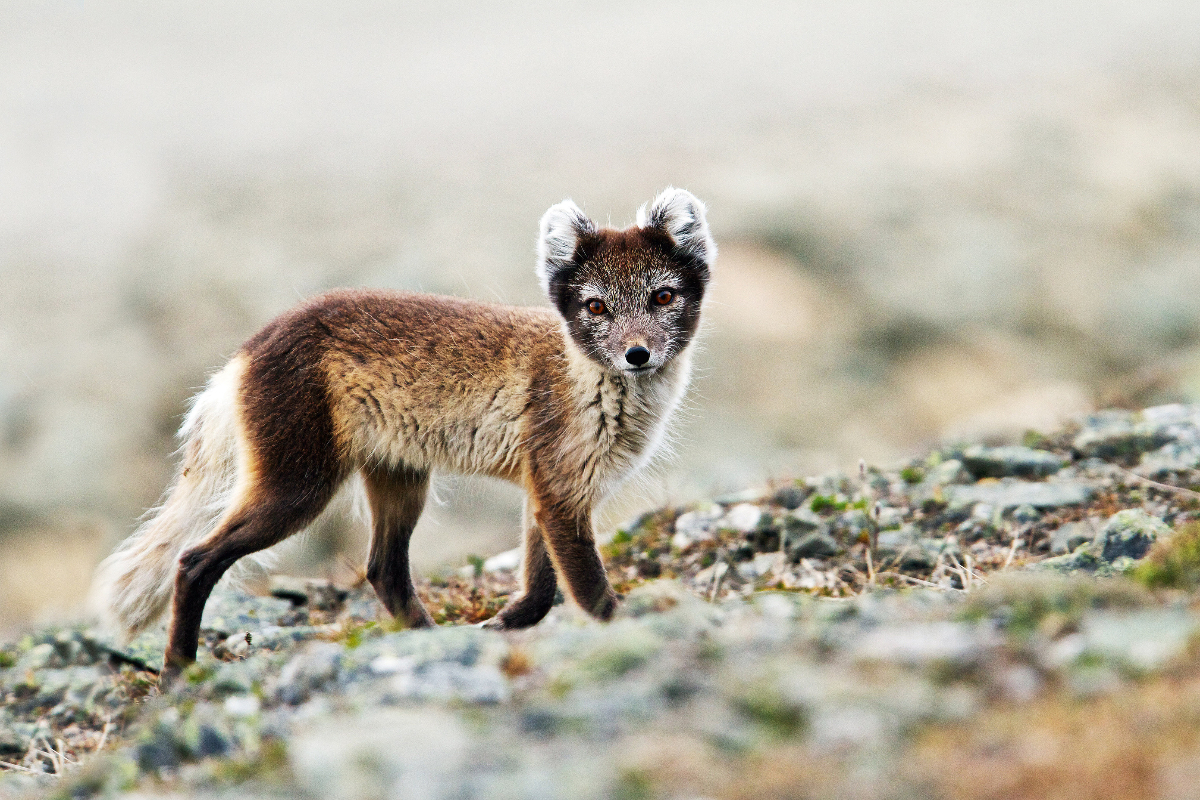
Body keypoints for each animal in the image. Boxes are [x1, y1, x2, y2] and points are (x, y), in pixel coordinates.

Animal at [89, 187, 715, 679]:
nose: (637, 354)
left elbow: (540, 590)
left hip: (399, 479)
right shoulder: (560, 496)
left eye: (662, 296)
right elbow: (587, 589)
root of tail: (246, 351)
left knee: (382, 569)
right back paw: (177, 674)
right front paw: (627, 631)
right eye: (597, 306)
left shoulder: (550, 493)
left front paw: (499, 626)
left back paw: (427, 639)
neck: (588, 383)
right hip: (297, 491)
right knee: (193, 560)